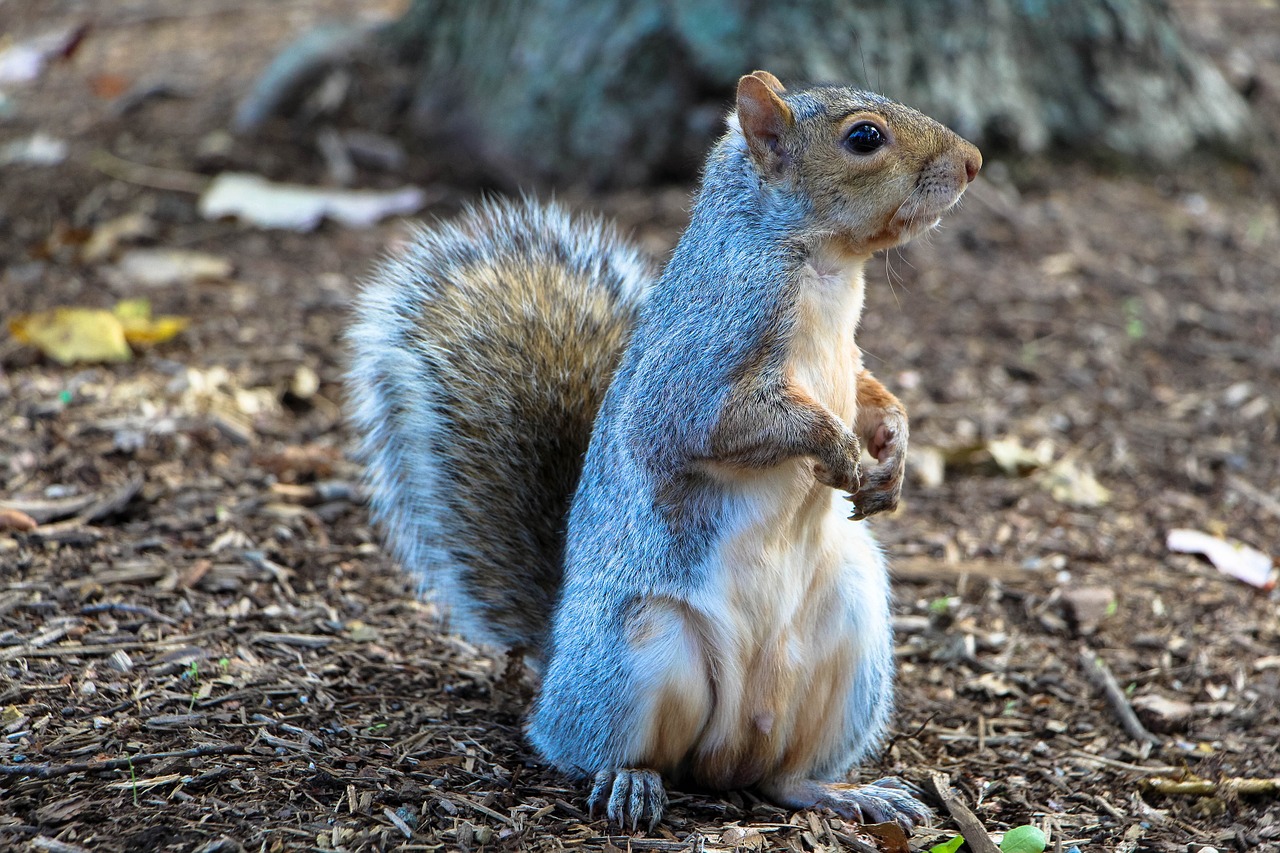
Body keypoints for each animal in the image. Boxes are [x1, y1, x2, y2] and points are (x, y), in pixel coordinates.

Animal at [345, 71, 983, 829]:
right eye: (863, 138)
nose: (974, 161)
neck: (827, 269)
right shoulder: (702, 362)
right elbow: (724, 425)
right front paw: (843, 450)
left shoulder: (848, 359)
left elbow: (869, 393)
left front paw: (894, 452)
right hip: (640, 651)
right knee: (601, 748)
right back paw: (631, 780)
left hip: (852, 636)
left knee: (782, 778)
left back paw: (843, 792)